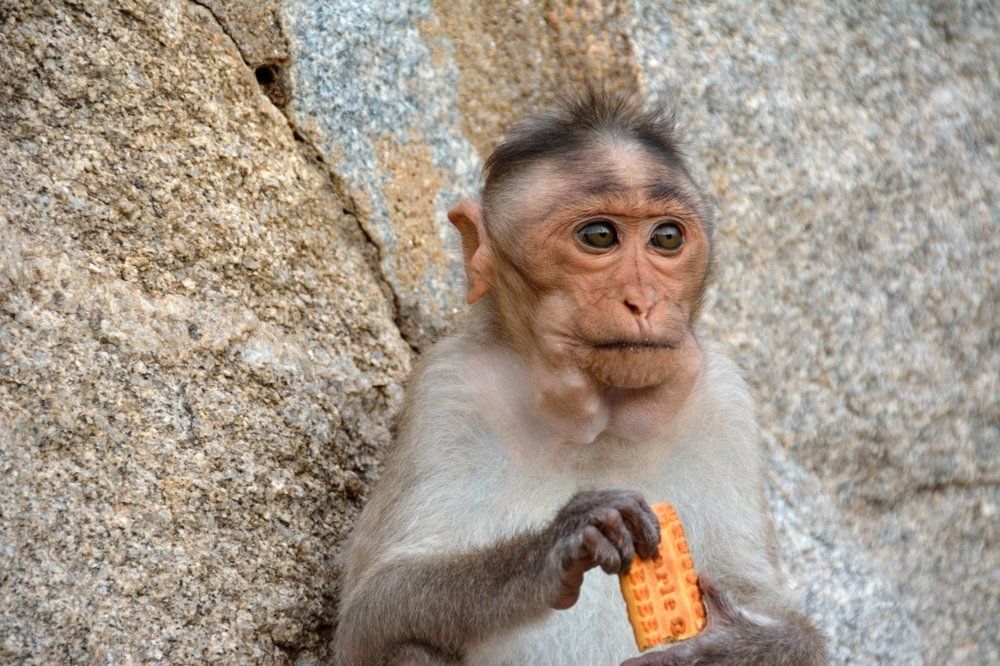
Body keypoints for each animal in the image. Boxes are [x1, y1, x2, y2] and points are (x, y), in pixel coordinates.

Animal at [333, 87, 827, 665]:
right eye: (599, 236)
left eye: (666, 238)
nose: (644, 300)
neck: (596, 425)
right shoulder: (448, 386)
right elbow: (370, 611)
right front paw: (558, 544)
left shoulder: (725, 400)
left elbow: (766, 600)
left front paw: (729, 647)